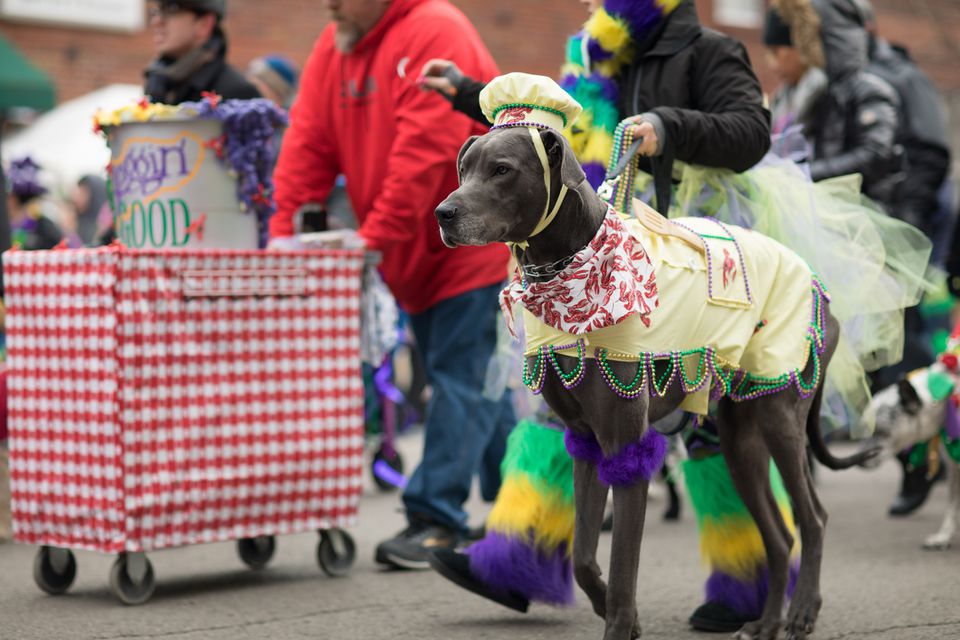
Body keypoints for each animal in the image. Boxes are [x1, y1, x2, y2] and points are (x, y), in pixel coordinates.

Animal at [438, 126, 880, 640]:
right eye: (463, 170)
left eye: (502, 170)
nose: (443, 213)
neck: (572, 264)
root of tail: (813, 278)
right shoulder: (588, 441)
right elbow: (584, 556)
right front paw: (611, 609)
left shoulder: (626, 444)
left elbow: (624, 569)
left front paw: (619, 620)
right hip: (740, 439)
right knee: (778, 534)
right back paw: (767, 621)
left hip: (779, 415)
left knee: (813, 519)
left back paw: (803, 610)